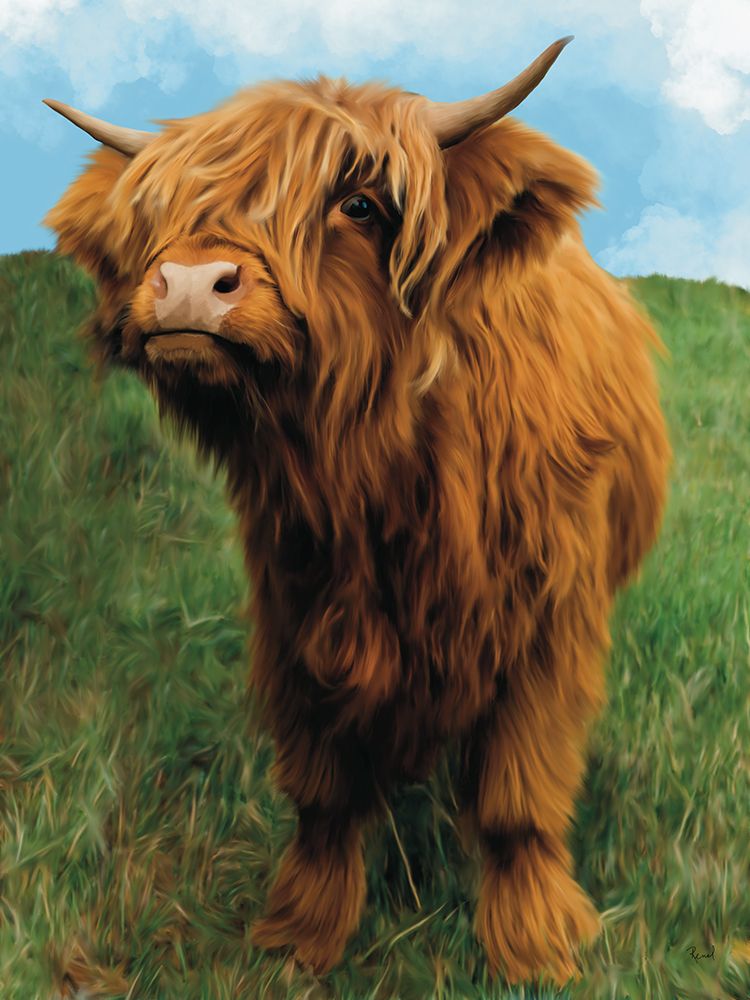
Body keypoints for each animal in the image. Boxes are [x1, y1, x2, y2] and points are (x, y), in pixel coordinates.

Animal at [44, 37, 670, 986]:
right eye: (162, 211)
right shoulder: (295, 607)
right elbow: (323, 790)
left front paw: (536, 947)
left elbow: (518, 796)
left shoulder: (549, 625)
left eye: (360, 204)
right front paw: (301, 934)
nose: (188, 284)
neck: (380, 477)